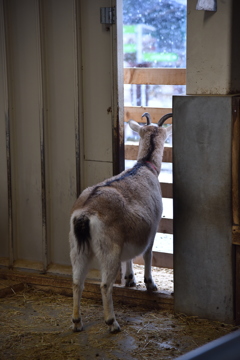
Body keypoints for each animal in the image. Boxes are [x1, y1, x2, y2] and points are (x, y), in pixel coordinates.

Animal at [68, 112, 172, 332]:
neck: (145, 166)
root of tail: (85, 214)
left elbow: (130, 255)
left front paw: (130, 279)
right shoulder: (153, 226)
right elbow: (148, 253)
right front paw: (150, 283)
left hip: (77, 247)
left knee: (76, 282)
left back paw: (77, 322)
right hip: (109, 249)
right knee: (105, 284)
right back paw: (112, 322)